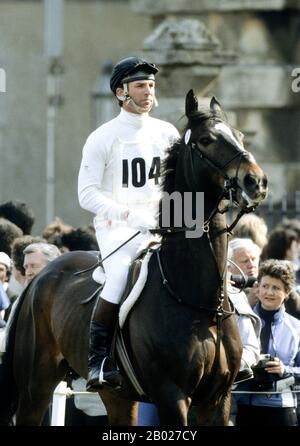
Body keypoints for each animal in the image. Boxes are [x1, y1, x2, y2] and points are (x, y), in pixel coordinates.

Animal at [0, 89, 268, 426]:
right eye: (206, 140)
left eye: (240, 135)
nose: (256, 182)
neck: (198, 301)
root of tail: (40, 278)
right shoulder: (172, 396)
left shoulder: (218, 400)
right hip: (36, 386)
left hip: (117, 397)